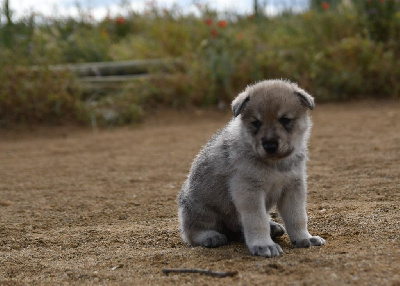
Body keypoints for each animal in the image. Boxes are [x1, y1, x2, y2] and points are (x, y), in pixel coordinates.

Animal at [178, 80, 324, 256]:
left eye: (285, 120)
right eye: (256, 123)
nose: (270, 146)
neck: (274, 164)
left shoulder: (293, 188)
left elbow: (298, 217)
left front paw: (304, 238)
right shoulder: (249, 191)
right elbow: (257, 220)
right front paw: (264, 244)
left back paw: (272, 227)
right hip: (203, 211)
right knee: (192, 232)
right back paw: (210, 236)